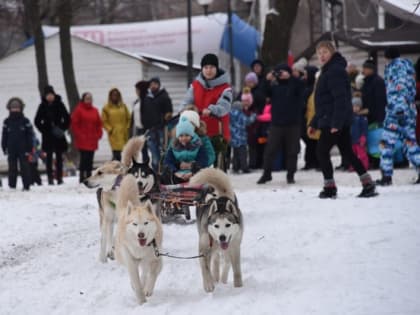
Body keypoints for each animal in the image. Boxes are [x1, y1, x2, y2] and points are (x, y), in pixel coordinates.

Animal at [115, 175, 163, 306]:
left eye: (146, 223)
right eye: (135, 224)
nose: (141, 234)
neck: (141, 248)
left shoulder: (156, 258)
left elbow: (152, 275)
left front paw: (148, 290)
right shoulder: (130, 261)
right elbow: (135, 281)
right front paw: (141, 301)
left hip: (147, 260)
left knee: (145, 272)